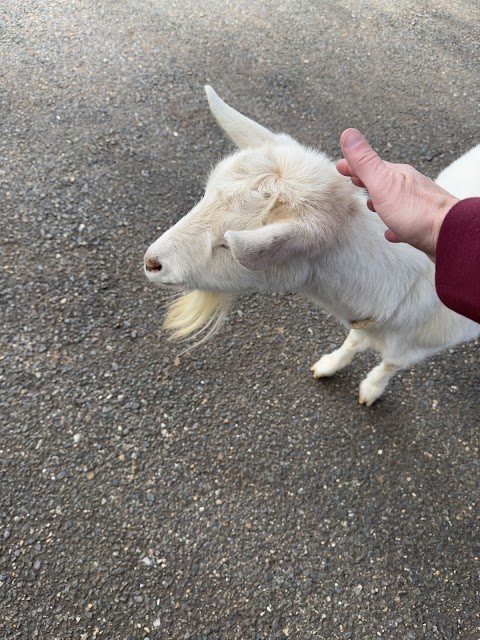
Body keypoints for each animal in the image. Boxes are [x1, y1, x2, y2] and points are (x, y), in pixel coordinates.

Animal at [144, 87, 480, 405]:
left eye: (227, 245)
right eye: (205, 196)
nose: (151, 262)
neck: (406, 288)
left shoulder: (417, 349)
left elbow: (389, 365)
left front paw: (370, 389)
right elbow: (353, 341)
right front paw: (330, 364)